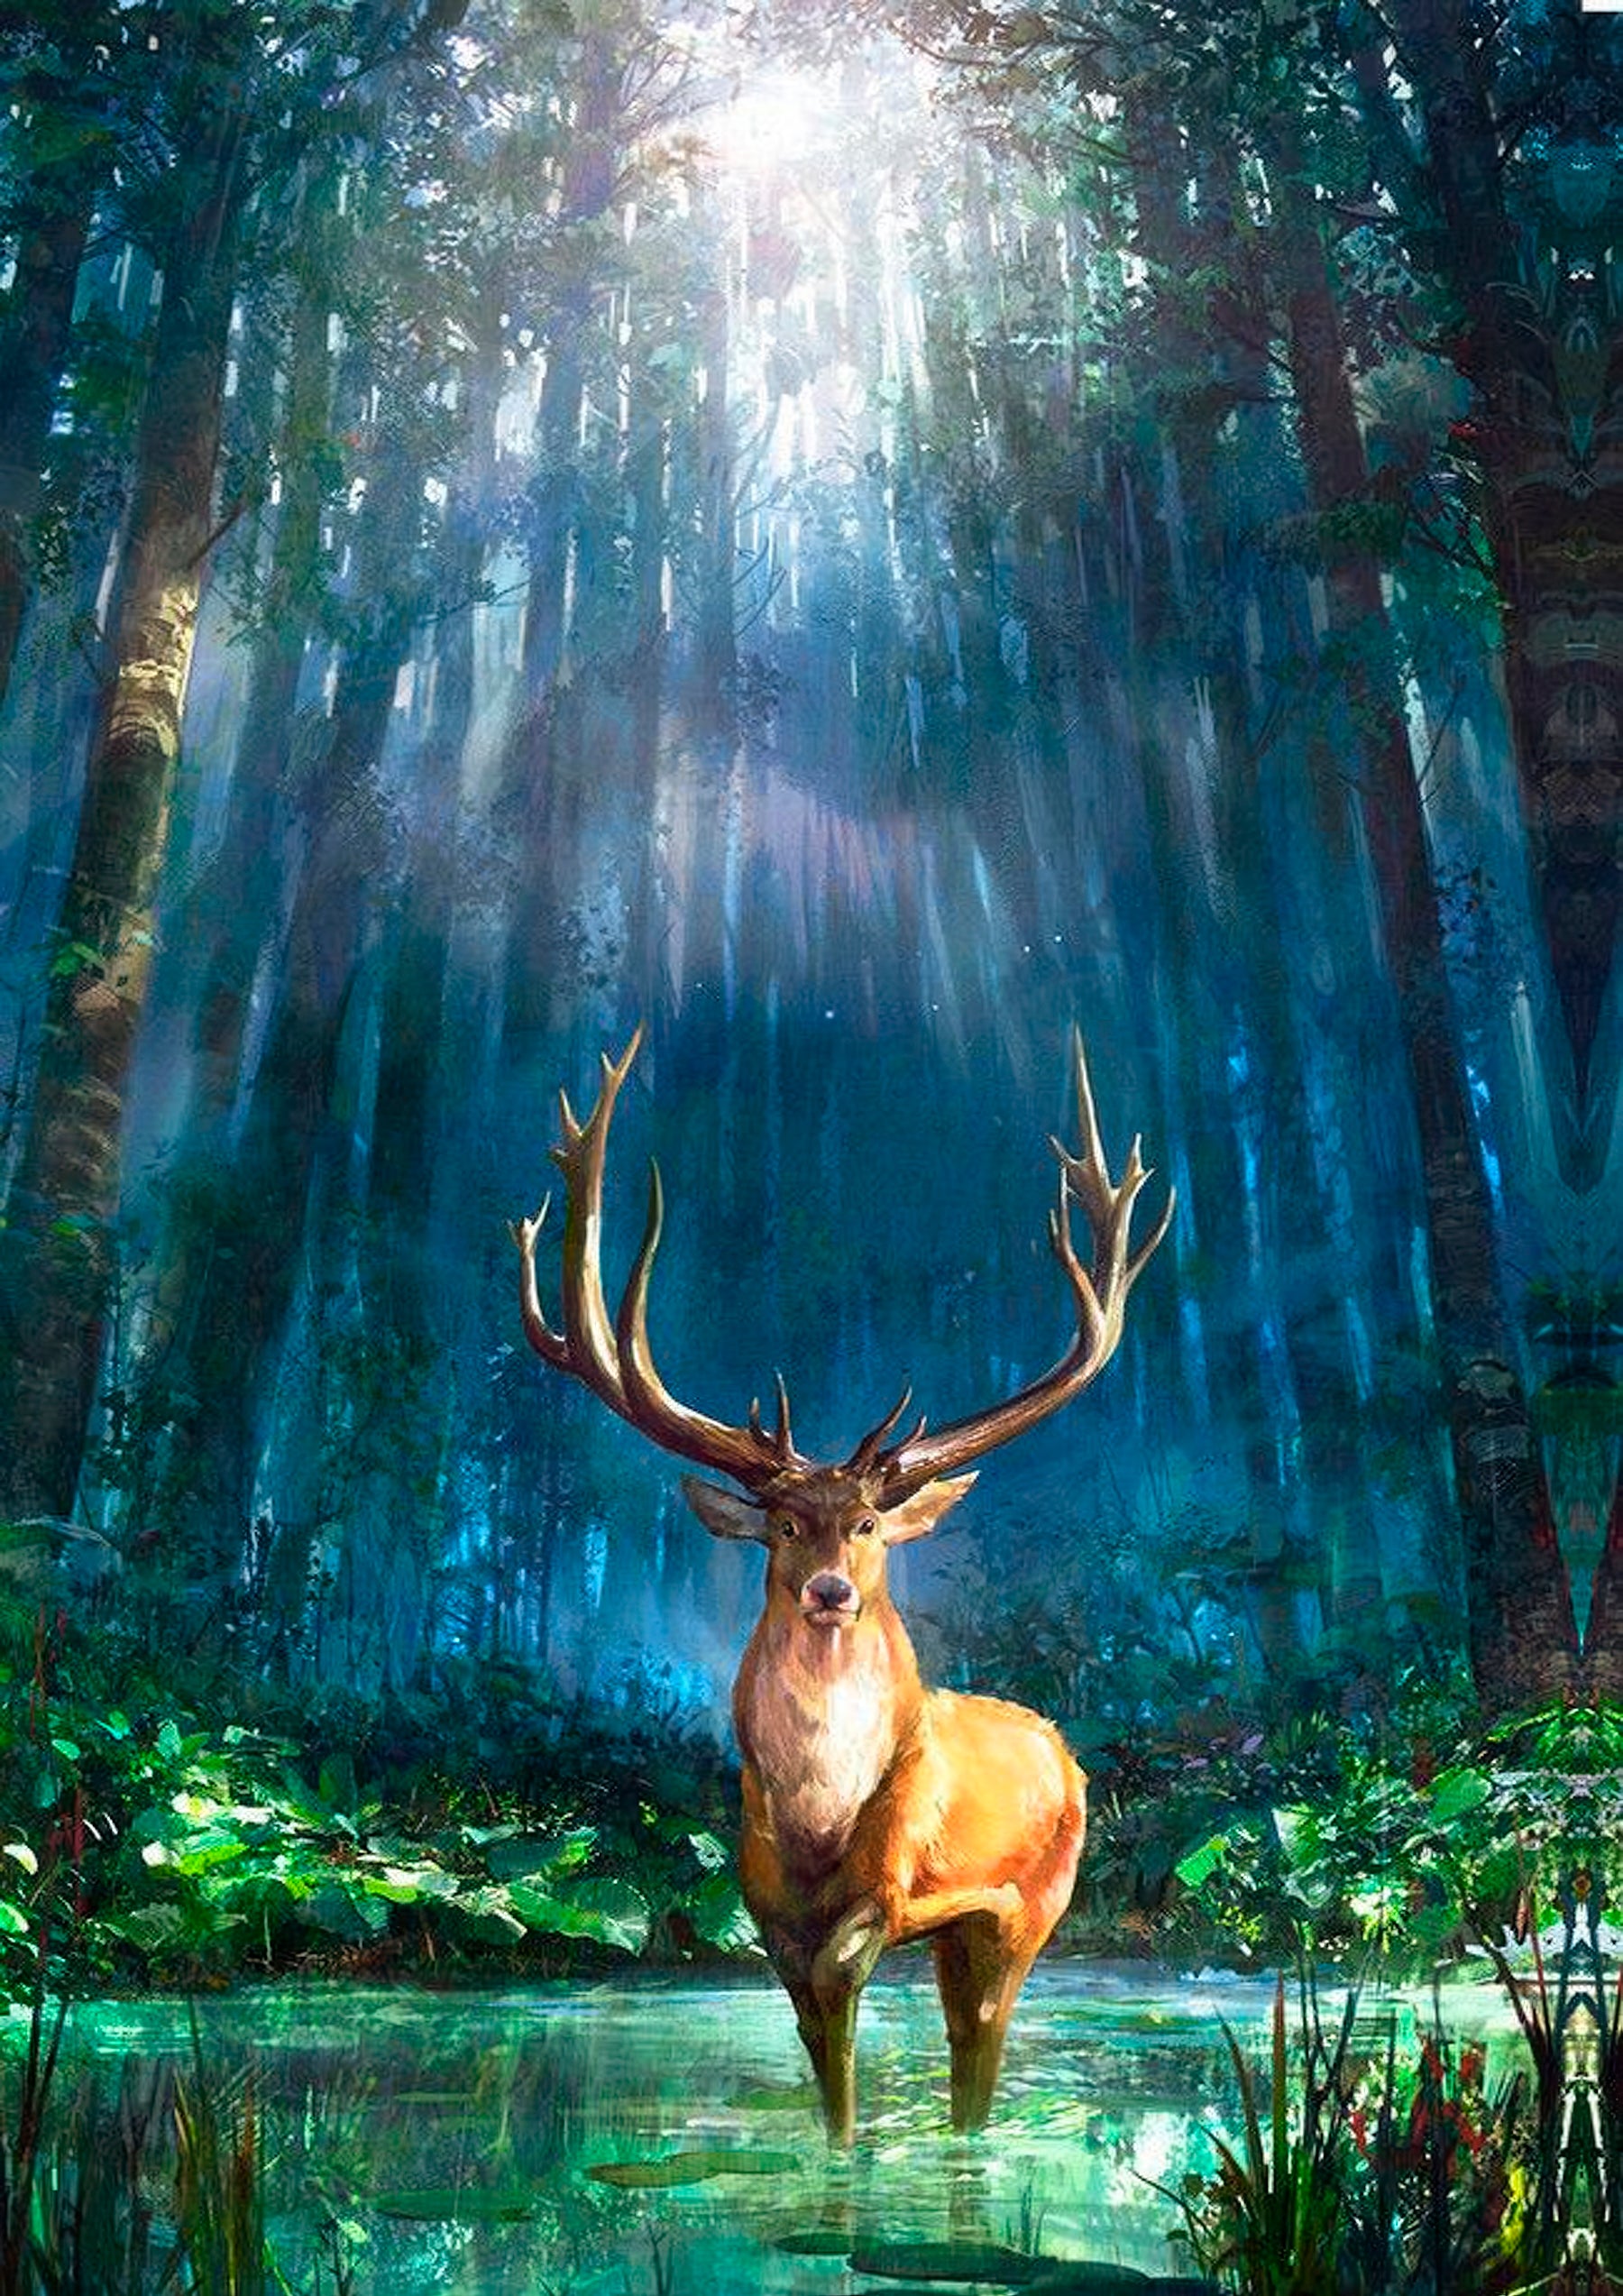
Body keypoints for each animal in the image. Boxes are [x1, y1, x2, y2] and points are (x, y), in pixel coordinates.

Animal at [510, 1028, 1172, 2143]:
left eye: (864, 1523)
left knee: (981, 2042)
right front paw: (838, 2150)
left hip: (1039, 1897)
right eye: (783, 1523)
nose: (828, 1591)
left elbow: (849, 1968)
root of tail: (1062, 1746)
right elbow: (823, 2048)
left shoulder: (894, 1882)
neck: (818, 1812)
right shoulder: (764, 1903)